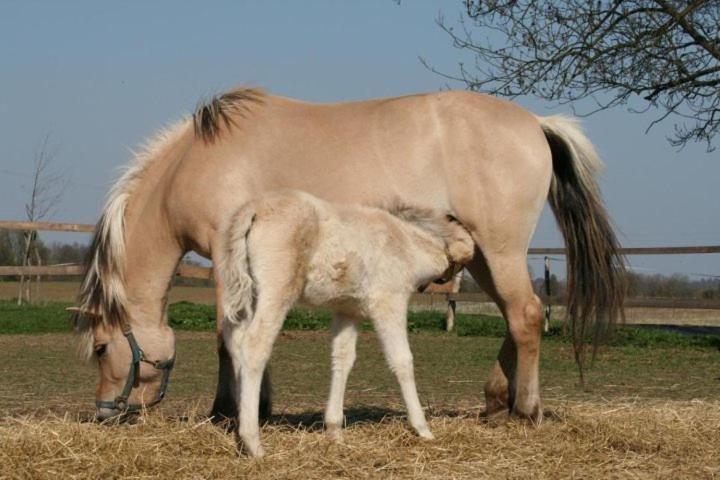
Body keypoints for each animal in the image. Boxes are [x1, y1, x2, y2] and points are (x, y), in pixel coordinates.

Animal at [74, 88, 624, 422]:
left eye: (100, 349)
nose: (105, 413)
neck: (199, 162)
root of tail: (536, 123)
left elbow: (228, 339)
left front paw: (228, 411)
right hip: (482, 256)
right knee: (515, 318)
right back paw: (495, 403)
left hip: (501, 250)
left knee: (526, 316)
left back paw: (526, 410)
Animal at [222, 189, 476, 456]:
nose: (446, 284)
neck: (405, 243)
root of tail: (253, 209)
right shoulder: (389, 302)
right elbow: (402, 360)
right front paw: (423, 428)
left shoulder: (348, 311)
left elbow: (342, 359)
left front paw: (335, 431)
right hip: (277, 290)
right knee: (254, 344)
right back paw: (253, 443)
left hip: (246, 292)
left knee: (234, 340)